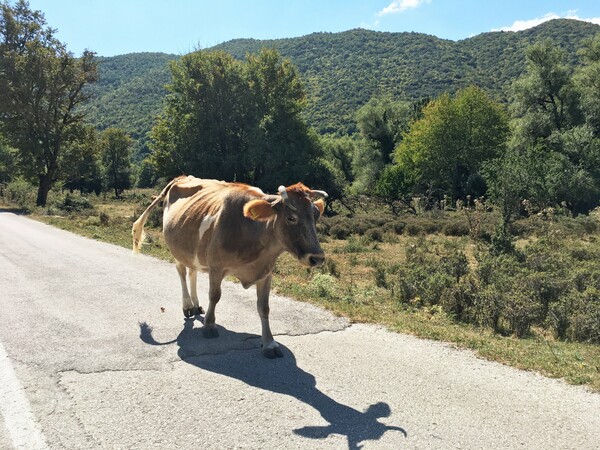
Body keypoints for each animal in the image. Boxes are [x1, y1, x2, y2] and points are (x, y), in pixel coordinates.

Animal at [132, 176, 328, 358]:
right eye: (291, 218)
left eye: (316, 216)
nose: (317, 257)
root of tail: (182, 177)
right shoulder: (216, 267)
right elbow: (214, 296)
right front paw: (209, 325)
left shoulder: (266, 273)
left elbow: (264, 307)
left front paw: (269, 343)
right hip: (178, 249)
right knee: (181, 271)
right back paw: (188, 306)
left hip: (193, 251)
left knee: (192, 272)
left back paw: (196, 305)